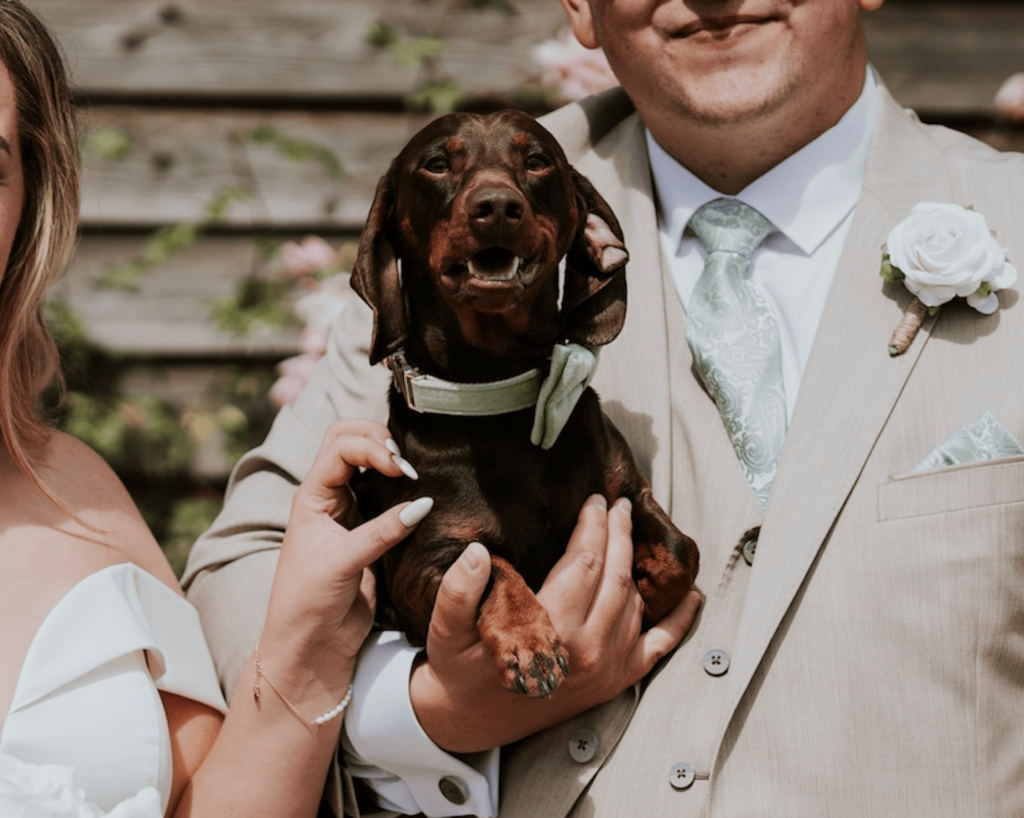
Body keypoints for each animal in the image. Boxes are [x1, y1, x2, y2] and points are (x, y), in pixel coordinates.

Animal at [350, 108, 696, 696]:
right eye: (436, 163)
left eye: (536, 160)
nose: (496, 207)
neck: (500, 400)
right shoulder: (422, 562)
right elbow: (492, 565)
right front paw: (529, 640)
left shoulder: (627, 496)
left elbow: (681, 553)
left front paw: (647, 595)